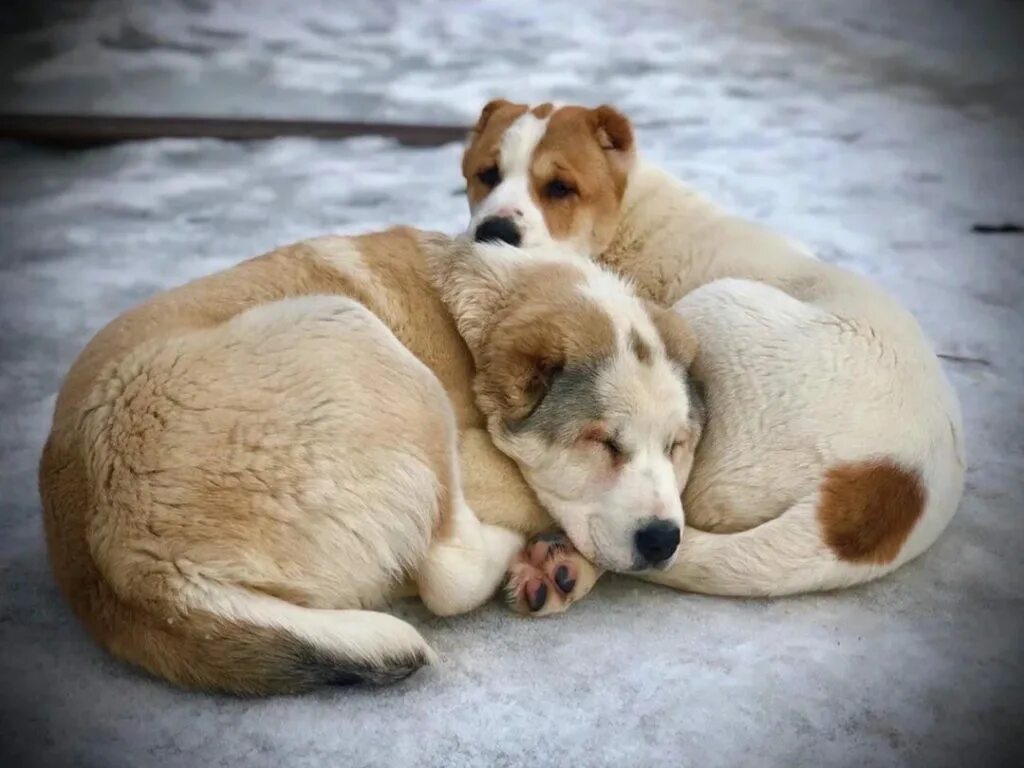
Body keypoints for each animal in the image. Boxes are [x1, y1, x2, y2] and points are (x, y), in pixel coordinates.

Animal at [37, 230, 696, 696]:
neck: (467, 318)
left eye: (676, 446)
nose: (663, 541)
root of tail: (127, 567)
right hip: (362, 337)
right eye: (601, 442)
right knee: (448, 573)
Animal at [460, 99, 962, 606]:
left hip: (709, 309)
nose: (494, 230)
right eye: (486, 174)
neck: (625, 220)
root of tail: (893, 485)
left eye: (560, 188)